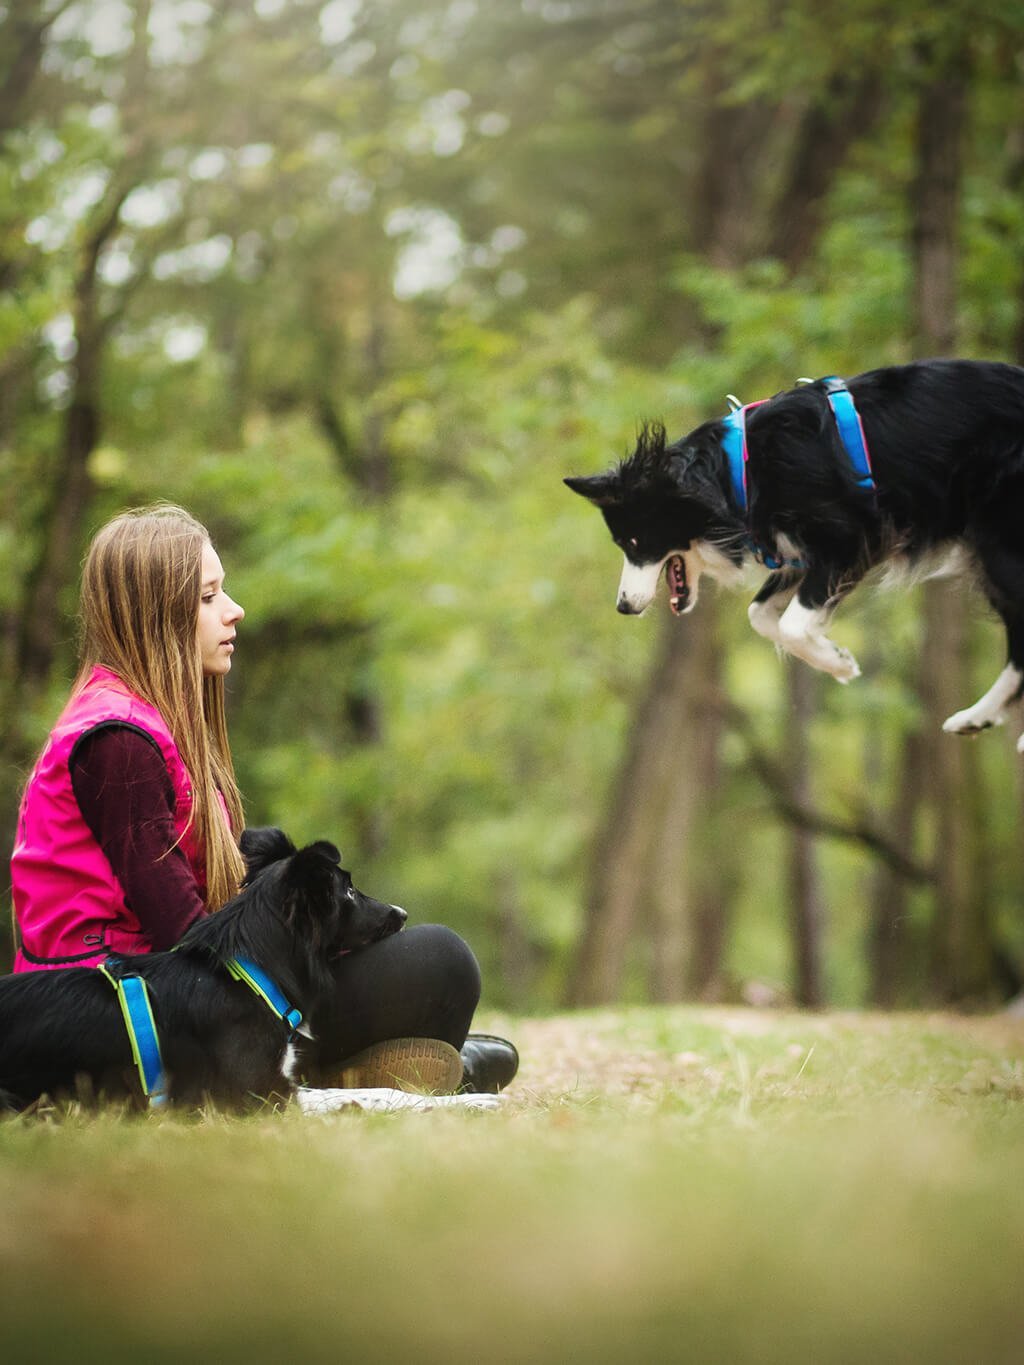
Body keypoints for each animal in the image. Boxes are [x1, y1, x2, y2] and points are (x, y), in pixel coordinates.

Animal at [0, 824, 406, 1113]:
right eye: (348, 891)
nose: (402, 914)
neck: (251, 972)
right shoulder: (259, 1093)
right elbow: (360, 1094)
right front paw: (421, 1103)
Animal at [565, 357, 1024, 753]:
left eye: (634, 543)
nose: (624, 607)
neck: (738, 472)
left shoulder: (851, 536)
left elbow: (790, 624)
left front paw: (839, 663)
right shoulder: (792, 551)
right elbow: (760, 615)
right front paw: (835, 658)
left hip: (1000, 544)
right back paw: (977, 717)